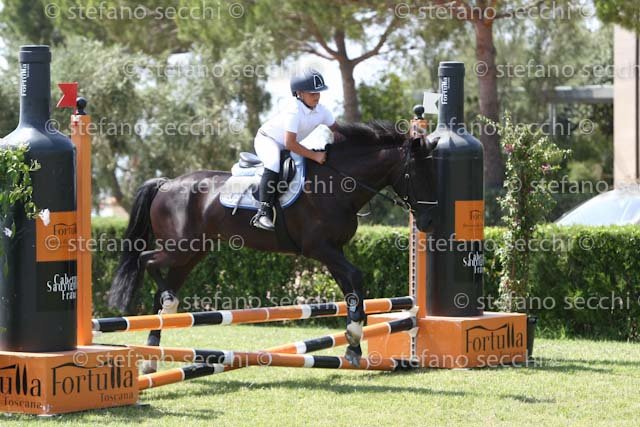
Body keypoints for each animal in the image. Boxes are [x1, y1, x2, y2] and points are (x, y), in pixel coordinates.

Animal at [108, 121, 437, 373]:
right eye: (417, 174)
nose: (428, 222)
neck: (336, 182)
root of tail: (167, 183)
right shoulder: (320, 249)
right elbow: (356, 277)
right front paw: (355, 336)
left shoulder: (334, 251)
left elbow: (351, 288)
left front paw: (353, 345)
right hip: (180, 247)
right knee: (145, 260)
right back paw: (166, 309)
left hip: (193, 252)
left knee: (161, 286)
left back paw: (152, 354)